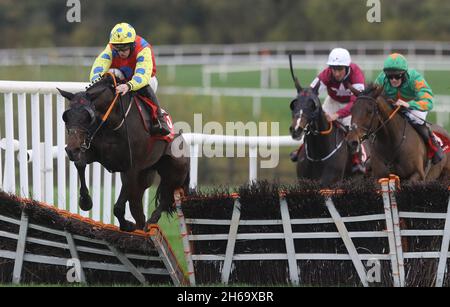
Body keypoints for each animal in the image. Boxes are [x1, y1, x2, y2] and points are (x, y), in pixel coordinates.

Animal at [58, 75, 190, 233]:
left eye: (88, 117)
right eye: (66, 116)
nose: (71, 150)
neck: (113, 122)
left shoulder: (132, 167)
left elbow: (119, 207)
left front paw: (126, 224)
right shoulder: (96, 154)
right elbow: (80, 163)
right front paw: (85, 201)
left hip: (174, 173)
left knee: (164, 200)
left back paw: (150, 222)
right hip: (144, 178)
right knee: (138, 210)